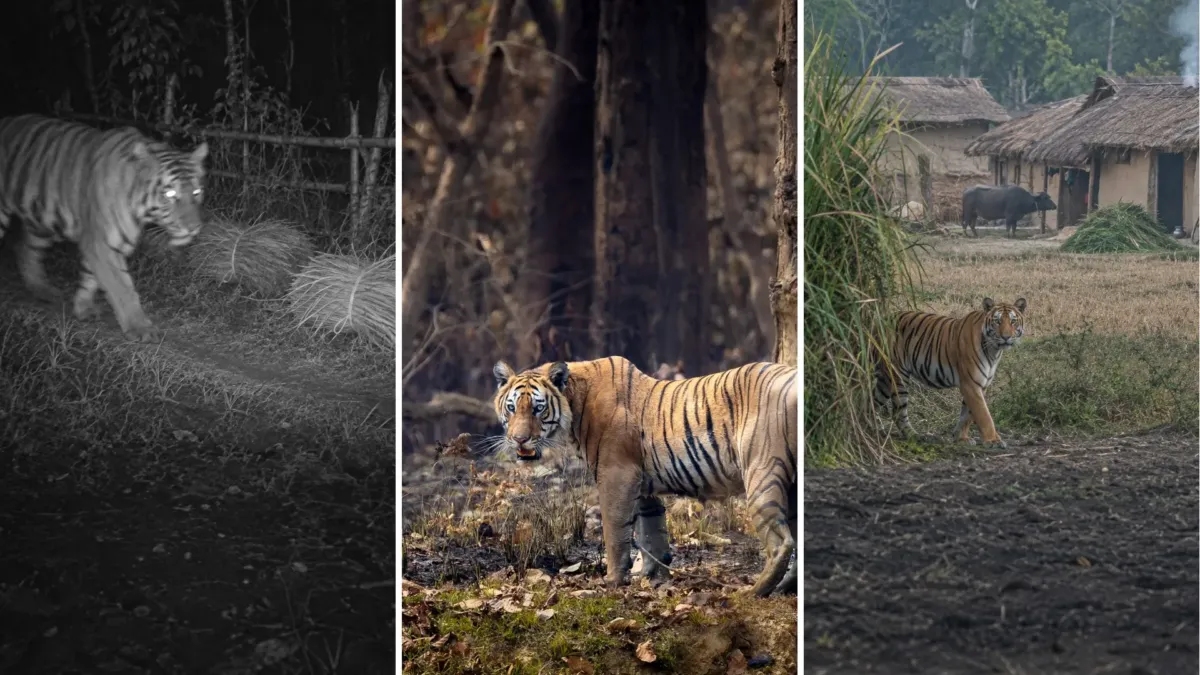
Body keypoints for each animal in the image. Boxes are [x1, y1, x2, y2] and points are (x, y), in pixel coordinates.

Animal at [0, 114, 208, 343]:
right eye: (170, 194)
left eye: (197, 192)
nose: (194, 228)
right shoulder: (101, 243)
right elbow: (122, 288)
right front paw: (140, 328)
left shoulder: (110, 244)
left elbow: (90, 278)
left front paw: (83, 308)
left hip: (44, 220)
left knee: (25, 248)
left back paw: (42, 289)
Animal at [492, 356, 798, 598]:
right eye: (512, 407)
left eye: (538, 408)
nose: (519, 439)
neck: (575, 402)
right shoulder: (642, 485)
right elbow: (652, 533)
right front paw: (653, 578)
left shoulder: (617, 475)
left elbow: (615, 530)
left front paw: (613, 580)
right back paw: (786, 588)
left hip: (760, 472)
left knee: (782, 543)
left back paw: (755, 591)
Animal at [874, 297, 1027, 449]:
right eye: (997, 321)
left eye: (1013, 321)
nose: (1006, 337)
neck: (994, 351)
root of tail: (877, 322)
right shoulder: (970, 384)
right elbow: (984, 415)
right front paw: (993, 440)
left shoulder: (980, 385)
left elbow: (967, 414)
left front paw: (961, 437)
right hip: (898, 375)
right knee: (897, 411)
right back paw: (913, 435)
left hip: (884, 379)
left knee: (874, 402)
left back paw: (877, 429)